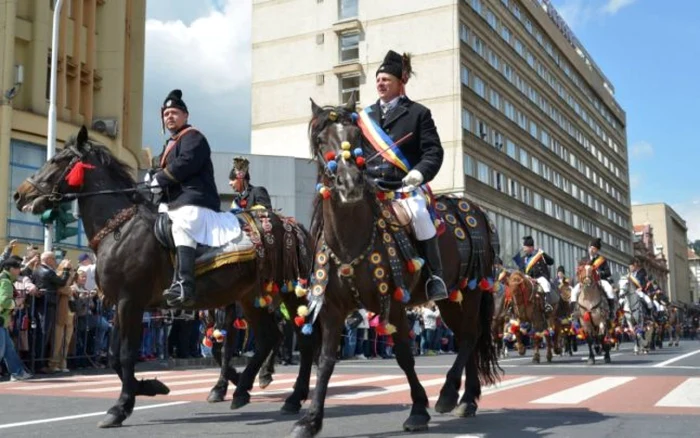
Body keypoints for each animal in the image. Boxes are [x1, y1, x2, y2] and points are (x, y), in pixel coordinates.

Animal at [12, 126, 314, 428]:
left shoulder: (130, 302)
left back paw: (293, 396)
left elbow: (126, 355)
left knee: (303, 338)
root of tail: (293, 225)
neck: (119, 228)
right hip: (250, 296)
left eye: (58, 160)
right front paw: (151, 386)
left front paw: (121, 406)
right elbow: (114, 357)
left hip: (286, 291)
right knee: (269, 337)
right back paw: (243, 389)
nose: (19, 194)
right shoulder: (118, 303)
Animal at [288, 99, 500, 438]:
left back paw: (449, 394)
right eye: (321, 141)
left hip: (471, 292)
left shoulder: (396, 304)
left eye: (356, 137)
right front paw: (310, 420)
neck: (351, 240)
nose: (350, 183)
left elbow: (403, 355)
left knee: (470, 337)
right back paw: (467, 400)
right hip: (452, 299)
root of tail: (473, 208)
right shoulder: (333, 309)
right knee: (468, 337)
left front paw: (418, 410)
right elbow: (327, 360)